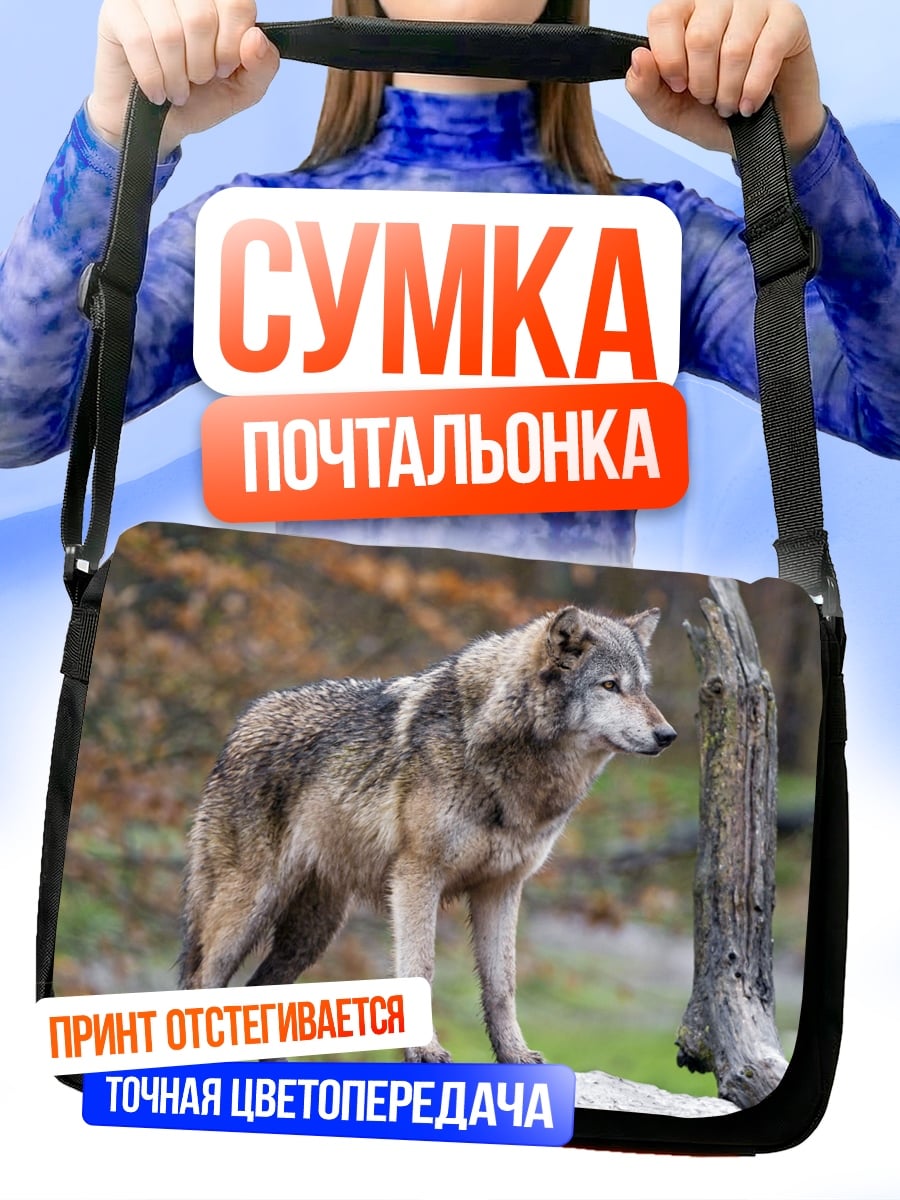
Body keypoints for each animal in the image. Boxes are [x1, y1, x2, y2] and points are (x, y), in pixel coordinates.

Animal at [180, 604, 676, 1064]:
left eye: (643, 688)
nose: (668, 735)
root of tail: (241, 726)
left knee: (260, 990)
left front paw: (515, 1056)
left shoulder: (502, 887)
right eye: (609, 685)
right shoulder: (417, 877)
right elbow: (421, 968)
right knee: (203, 983)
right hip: (248, 908)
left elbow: (503, 986)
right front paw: (424, 1051)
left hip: (313, 930)